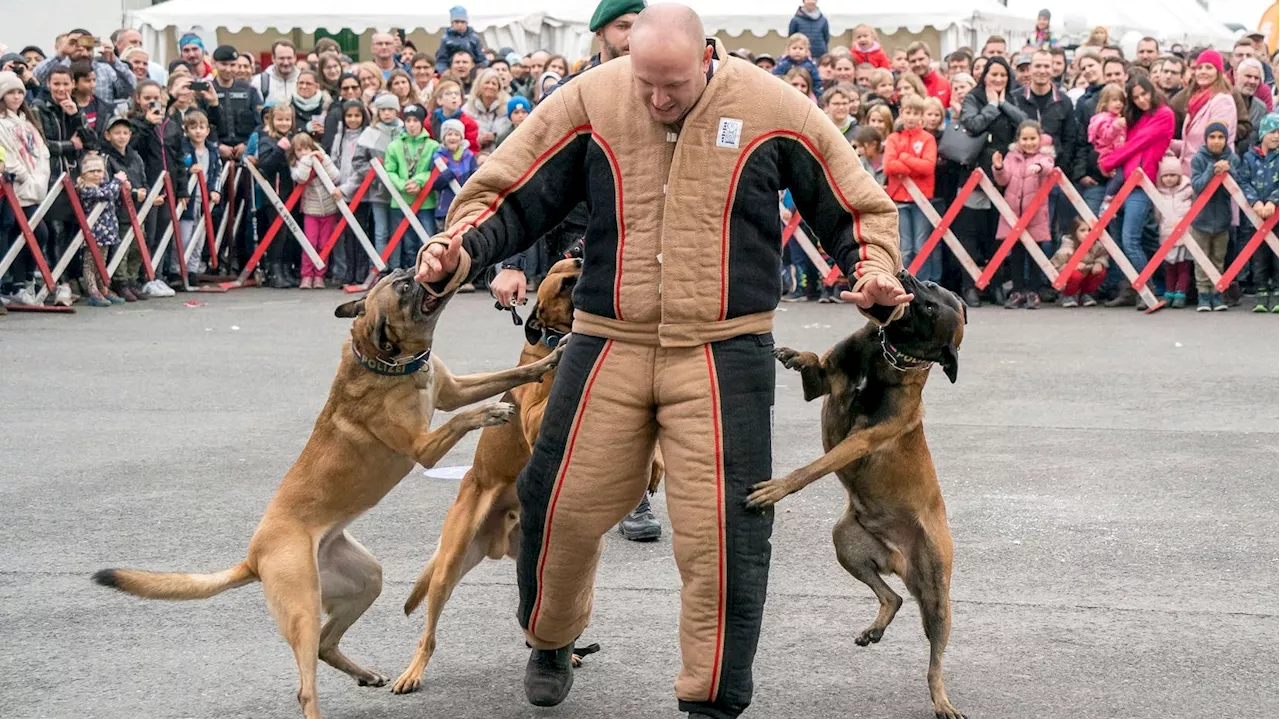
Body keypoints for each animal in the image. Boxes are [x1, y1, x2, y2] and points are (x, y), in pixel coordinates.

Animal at [92, 268, 563, 716]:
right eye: (403, 289)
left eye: (398, 277)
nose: (412, 268)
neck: (384, 362)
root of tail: (253, 557)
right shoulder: (424, 447)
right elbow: (465, 416)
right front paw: (492, 411)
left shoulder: (453, 389)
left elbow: (506, 375)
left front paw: (549, 359)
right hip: (302, 606)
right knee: (306, 685)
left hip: (364, 581)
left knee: (325, 644)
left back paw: (364, 673)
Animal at [389, 255, 660, 690]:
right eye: (564, 283)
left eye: (576, 260)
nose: (585, 256)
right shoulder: (534, 416)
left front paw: (655, 469)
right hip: (449, 566)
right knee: (428, 635)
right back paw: (413, 672)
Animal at [747, 269, 962, 716]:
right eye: (931, 286)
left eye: (930, 306)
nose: (904, 274)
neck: (890, 355)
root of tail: (901, 557)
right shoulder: (824, 385)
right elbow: (816, 363)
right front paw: (795, 355)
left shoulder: (858, 441)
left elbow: (810, 470)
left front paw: (777, 488)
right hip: (846, 542)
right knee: (893, 598)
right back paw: (874, 629)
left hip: (937, 598)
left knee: (934, 660)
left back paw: (941, 699)